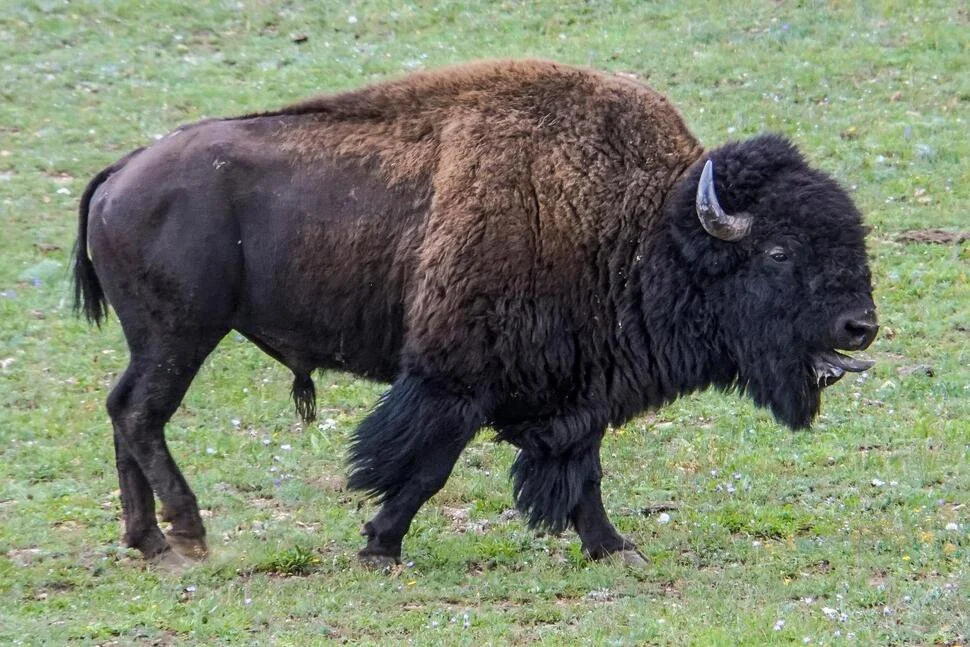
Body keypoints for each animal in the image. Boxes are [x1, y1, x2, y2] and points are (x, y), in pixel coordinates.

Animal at [73, 60, 877, 567]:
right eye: (778, 251)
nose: (860, 325)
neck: (644, 225)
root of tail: (121, 172)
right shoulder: (455, 382)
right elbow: (427, 467)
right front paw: (380, 546)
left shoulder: (574, 392)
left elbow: (581, 472)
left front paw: (615, 548)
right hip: (181, 336)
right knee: (142, 414)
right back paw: (189, 534)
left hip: (159, 341)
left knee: (122, 410)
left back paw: (148, 542)